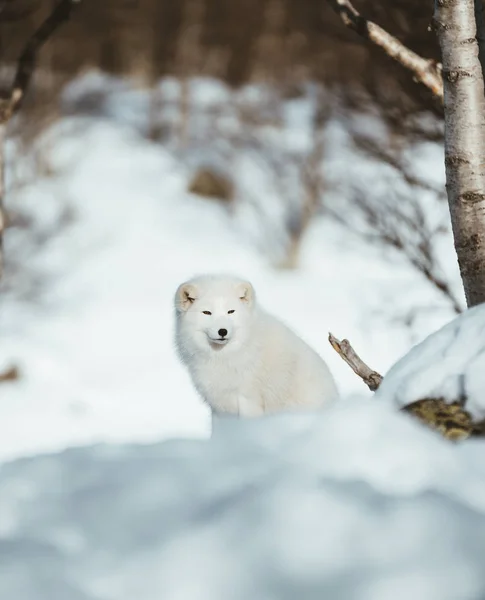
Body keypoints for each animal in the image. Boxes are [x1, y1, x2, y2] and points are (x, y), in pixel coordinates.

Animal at [173, 274, 336, 418]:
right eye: (207, 312)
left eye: (231, 311)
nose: (222, 331)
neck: (223, 357)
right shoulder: (217, 404)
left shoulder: (247, 398)